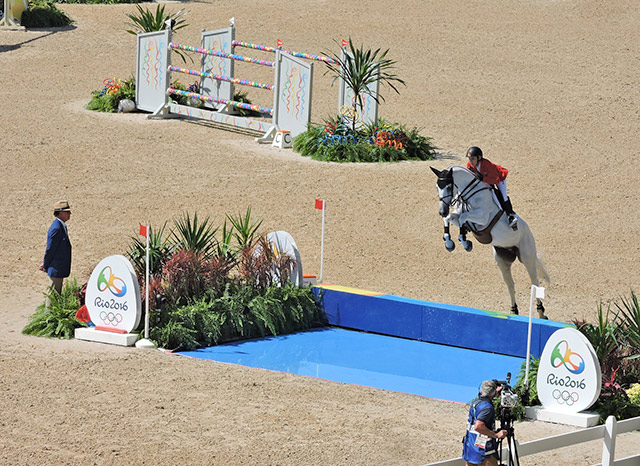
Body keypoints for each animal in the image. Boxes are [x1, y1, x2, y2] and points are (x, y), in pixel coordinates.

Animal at [430, 166, 552, 318]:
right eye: (437, 187)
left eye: (448, 187)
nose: (442, 211)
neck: (469, 195)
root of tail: (529, 233)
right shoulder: (458, 216)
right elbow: (451, 219)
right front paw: (450, 243)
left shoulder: (482, 218)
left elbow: (463, 217)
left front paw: (464, 242)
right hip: (502, 260)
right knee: (510, 285)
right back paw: (514, 311)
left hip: (527, 257)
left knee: (534, 282)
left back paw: (541, 314)